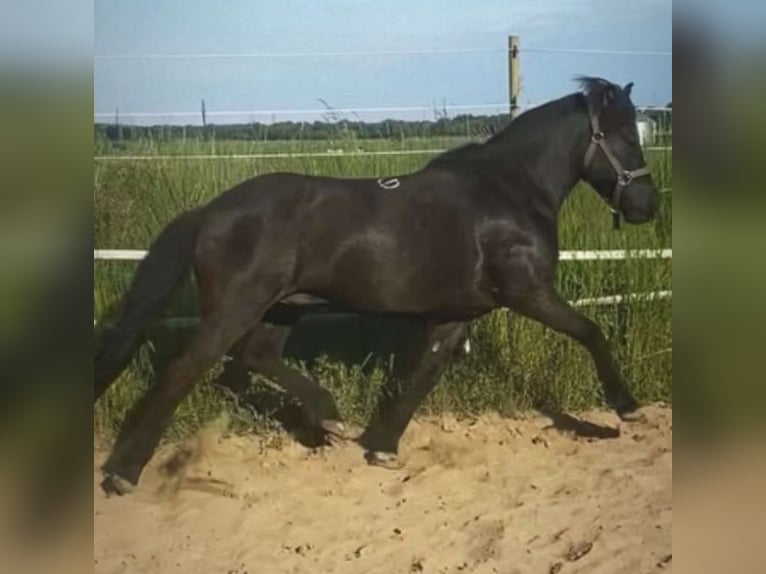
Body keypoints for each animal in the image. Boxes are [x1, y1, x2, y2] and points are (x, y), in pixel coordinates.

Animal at [95, 77, 659, 495]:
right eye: (626, 138)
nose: (646, 207)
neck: (507, 192)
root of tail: (211, 211)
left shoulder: (458, 314)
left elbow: (424, 373)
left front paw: (383, 446)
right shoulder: (529, 293)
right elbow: (589, 332)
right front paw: (627, 408)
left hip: (285, 307)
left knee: (254, 359)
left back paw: (328, 419)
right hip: (237, 308)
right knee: (185, 371)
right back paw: (123, 473)